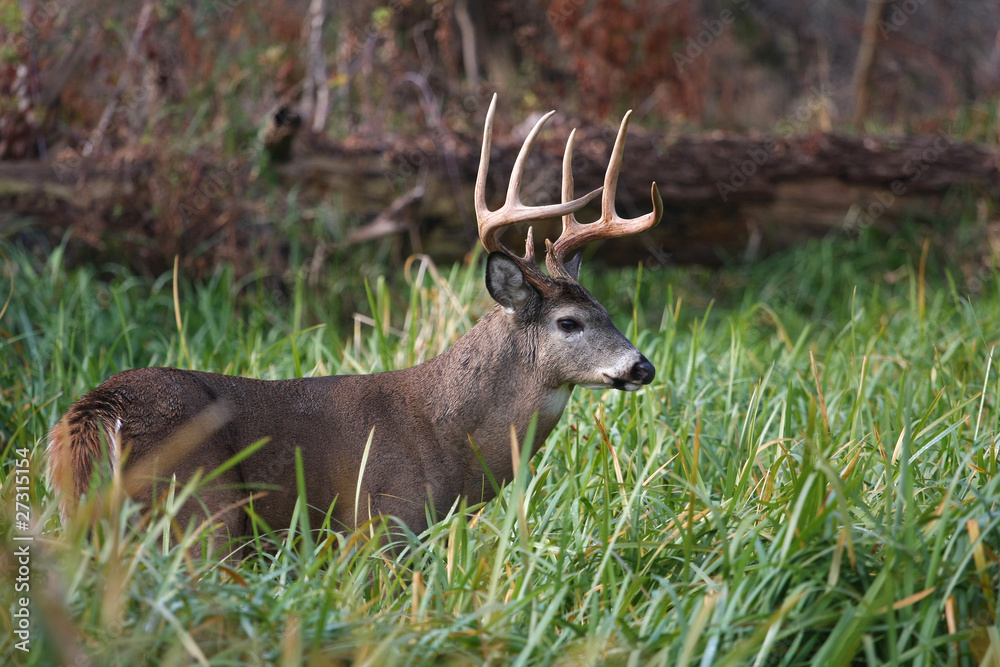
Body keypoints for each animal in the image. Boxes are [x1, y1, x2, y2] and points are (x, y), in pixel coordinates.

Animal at [46, 94, 663, 552]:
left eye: (607, 312)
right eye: (569, 322)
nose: (643, 366)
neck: (445, 438)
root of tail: (93, 414)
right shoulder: (381, 523)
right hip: (202, 508)